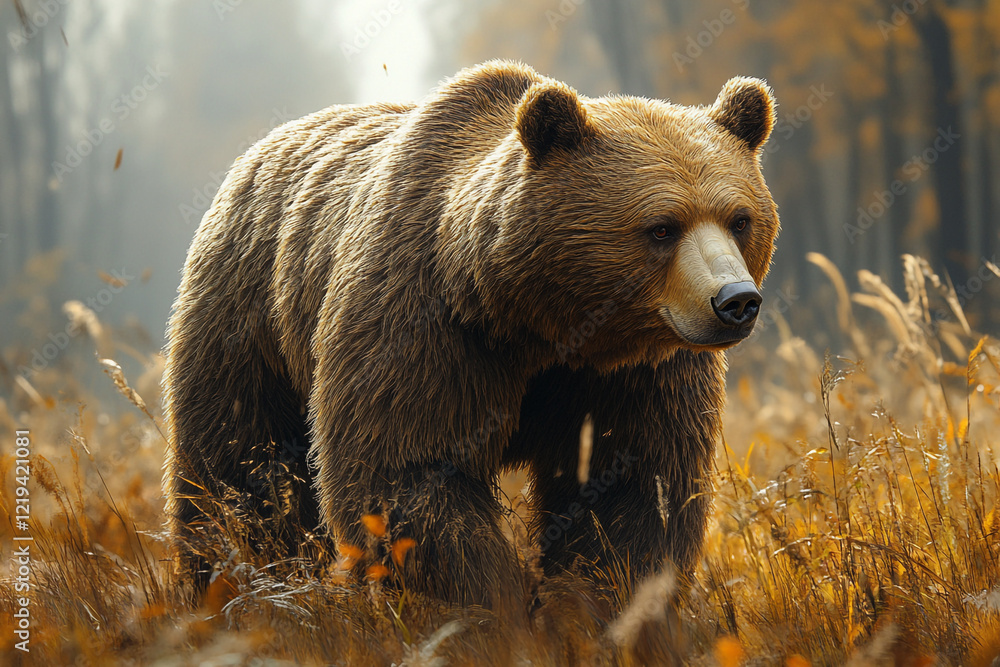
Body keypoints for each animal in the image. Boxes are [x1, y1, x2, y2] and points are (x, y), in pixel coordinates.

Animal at [163, 60, 778, 613]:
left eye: (740, 218)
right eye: (662, 228)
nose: (734, 301)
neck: (538, 318)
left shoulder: (633, 369)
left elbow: (635, 486)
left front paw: (590, 606)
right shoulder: (427, 324)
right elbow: (408, 472)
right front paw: (490, 605)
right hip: (246, 318)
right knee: (239, 469)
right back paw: (236, 587)